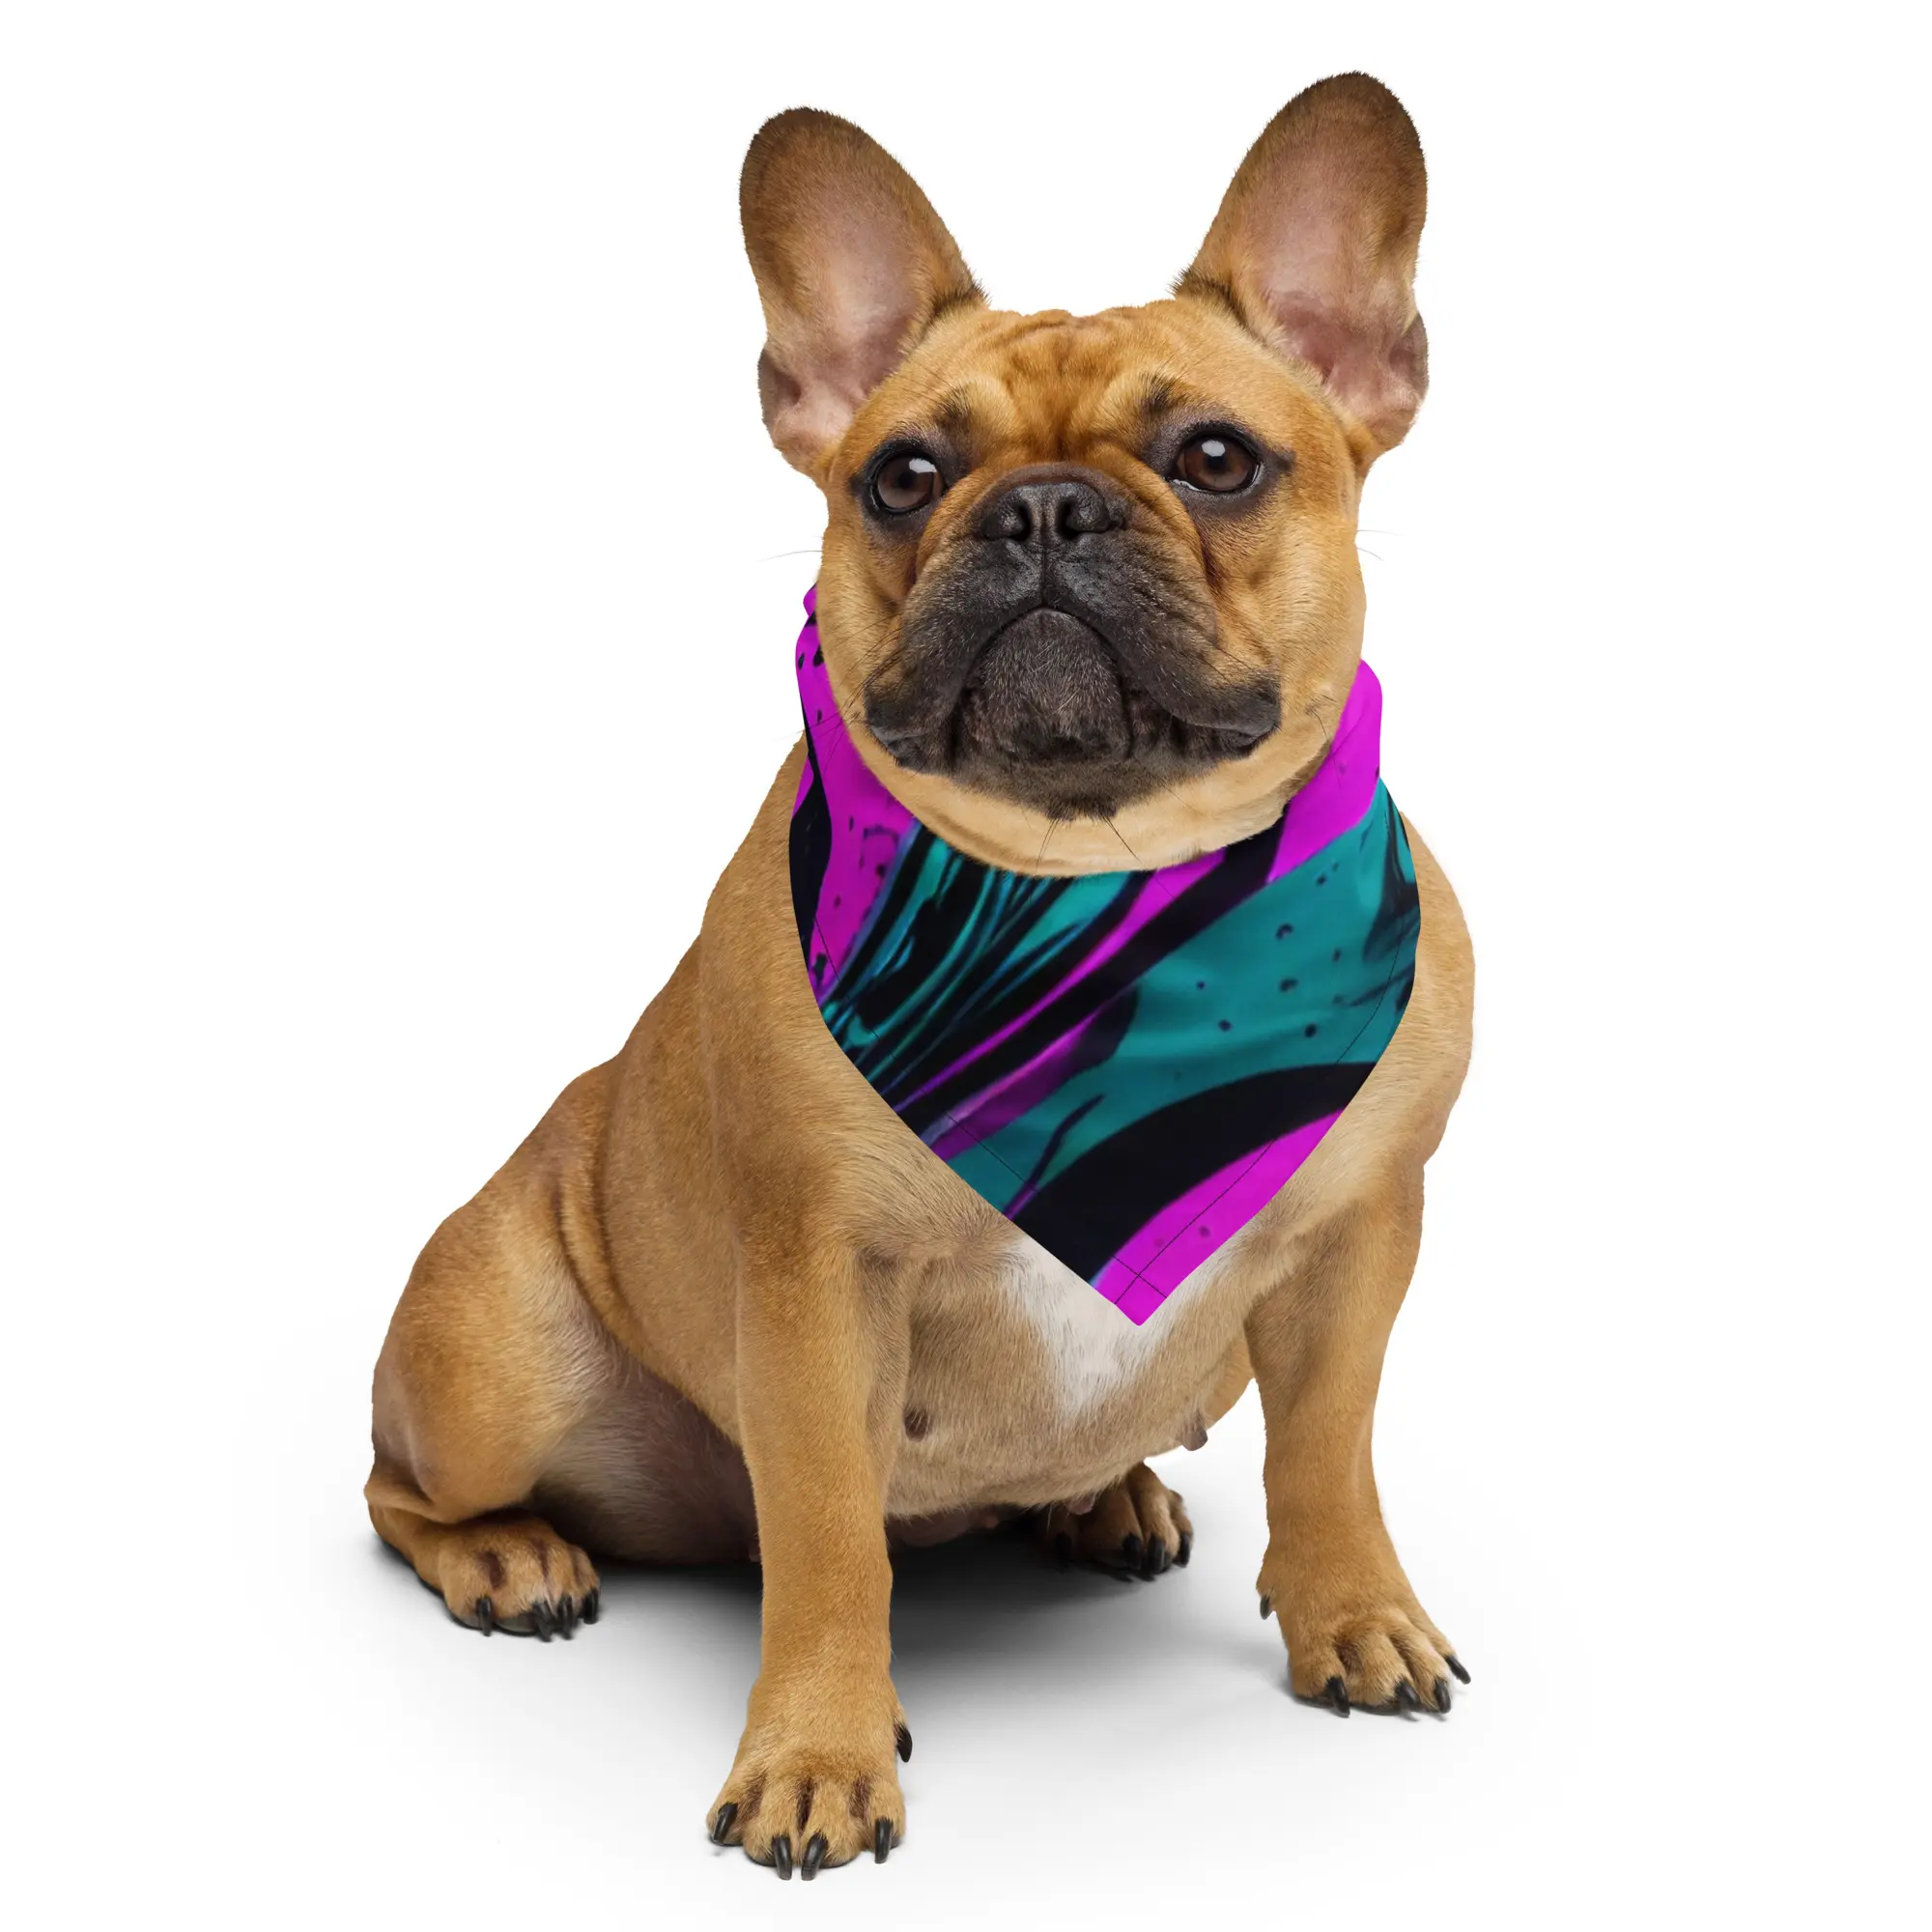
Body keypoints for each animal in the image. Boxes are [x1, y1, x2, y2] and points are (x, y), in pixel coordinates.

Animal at [365, 71, 1476, 1870]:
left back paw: (1107, 1495)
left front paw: (1354, 1614)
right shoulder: (818, 1284)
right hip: (494, 1359)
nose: (1039, 507)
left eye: (1218, 459)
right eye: (902, 475)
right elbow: (829, 1540)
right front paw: (817, 1753)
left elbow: (1331, 1454)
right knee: (405, 1488)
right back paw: (512, 1555)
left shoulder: (1357, 1242)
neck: (1099, 896)